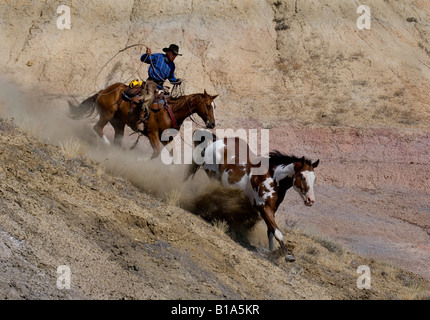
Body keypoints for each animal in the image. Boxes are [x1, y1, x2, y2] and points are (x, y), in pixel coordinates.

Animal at [68, 82, 217, 158]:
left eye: (214, 106)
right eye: (209, 106)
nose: (212, 124)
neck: (172, 111)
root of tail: (103, 91)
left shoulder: (165, 138)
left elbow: (170, 155)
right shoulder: (152, 133)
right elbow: (156, 152)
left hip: (118, 123)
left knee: (117, 139)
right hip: (107, 115)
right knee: (97, 128)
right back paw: (108, 146)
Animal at [185, 136, 320, 262]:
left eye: (314, 178)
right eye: (302, 177)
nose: (310, 200)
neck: (272, 176)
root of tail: (216, 141)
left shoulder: (272, 209)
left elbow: (270, 232)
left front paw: (271, 251)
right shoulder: (264, 207)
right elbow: (277, 231)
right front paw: (288, 255)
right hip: (213, 177)